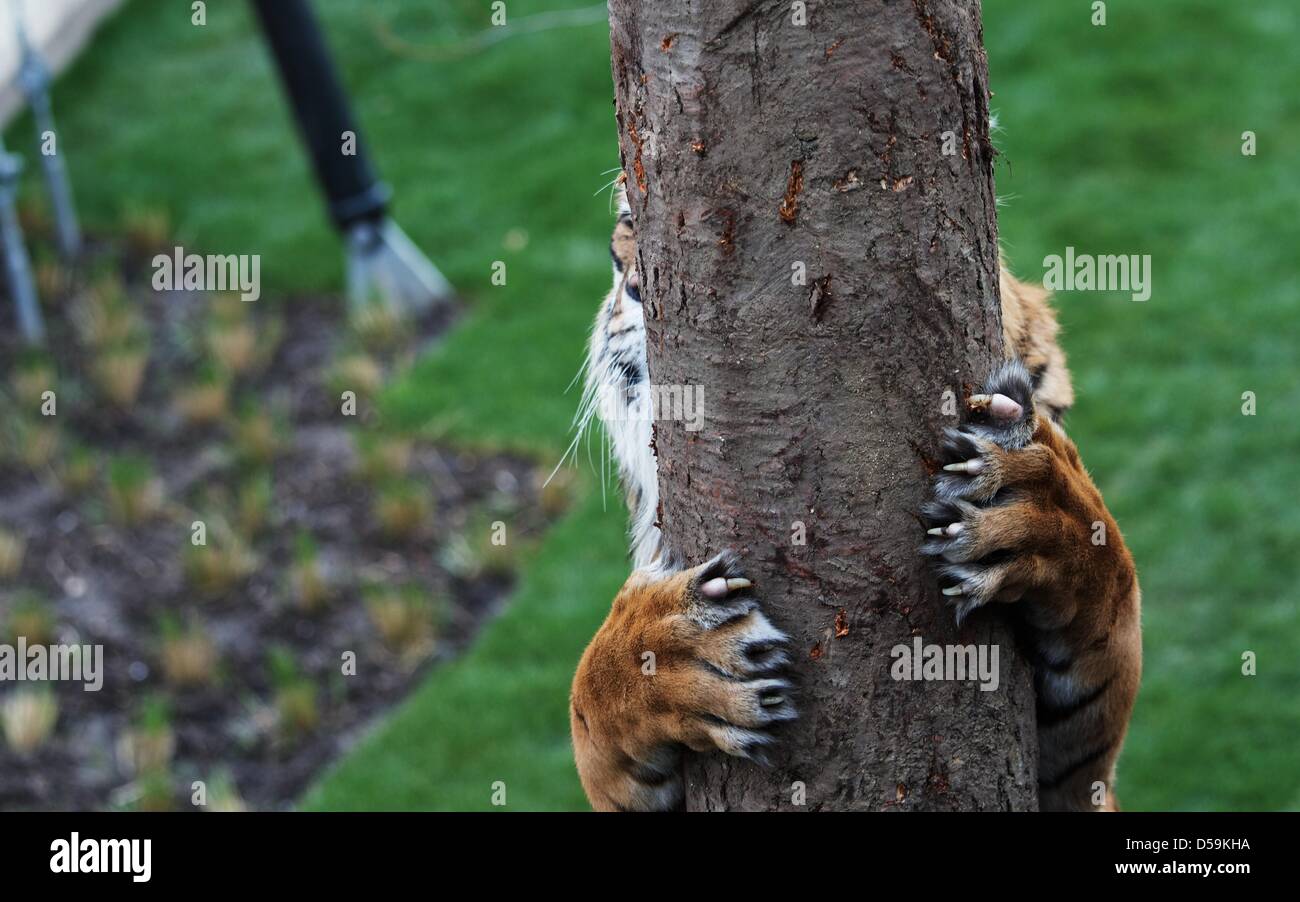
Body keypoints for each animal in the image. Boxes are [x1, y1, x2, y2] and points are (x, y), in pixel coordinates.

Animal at [569, 181, 1138, 811]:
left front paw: (1028, 501)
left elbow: (1114, 575)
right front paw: (673, 653)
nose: (639, 288)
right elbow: (586, 704)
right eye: (627, 230)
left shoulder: (1083, 786)